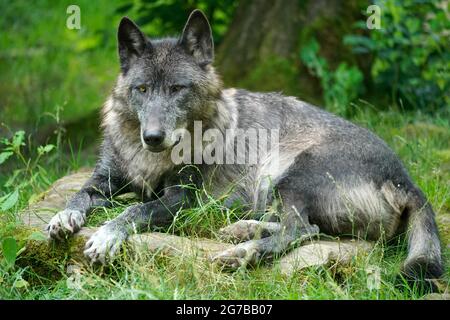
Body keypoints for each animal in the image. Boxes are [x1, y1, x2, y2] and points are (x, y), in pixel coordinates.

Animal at [46, 10, 442, 290]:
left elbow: (134, 210)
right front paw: (64, 217)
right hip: (275, 189)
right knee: (309, 228)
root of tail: (407, 179)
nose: (153, 137)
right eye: (142, 89)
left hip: (291, 170)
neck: (151, 158)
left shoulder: (181, 199)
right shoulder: (104, 179)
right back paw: (239, 230)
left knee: (301, 230)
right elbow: (80, 195)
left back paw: (240, 254)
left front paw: (104, 236)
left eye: (177, 88)